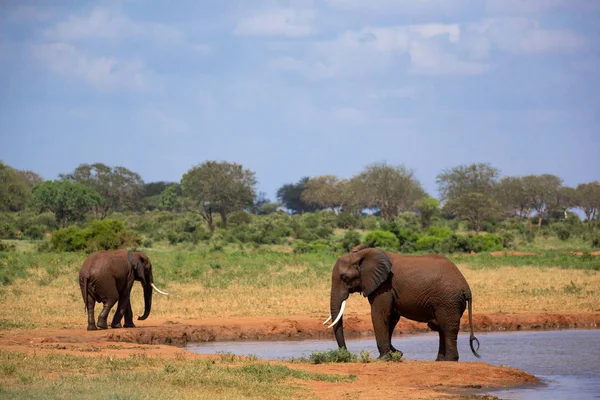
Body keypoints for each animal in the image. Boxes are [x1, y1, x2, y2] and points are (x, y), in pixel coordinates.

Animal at [324, 244, 482, 362]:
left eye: (344, 277)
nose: (347, 355)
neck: (361, 255)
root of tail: (466, 288)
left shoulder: (384, 285)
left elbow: (380, 314)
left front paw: (383, 358)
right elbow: (392, 317)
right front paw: (395, 354)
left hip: (447, 300)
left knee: (447, 327)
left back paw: (449, 360)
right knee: (441, 327)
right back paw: (440, 360)